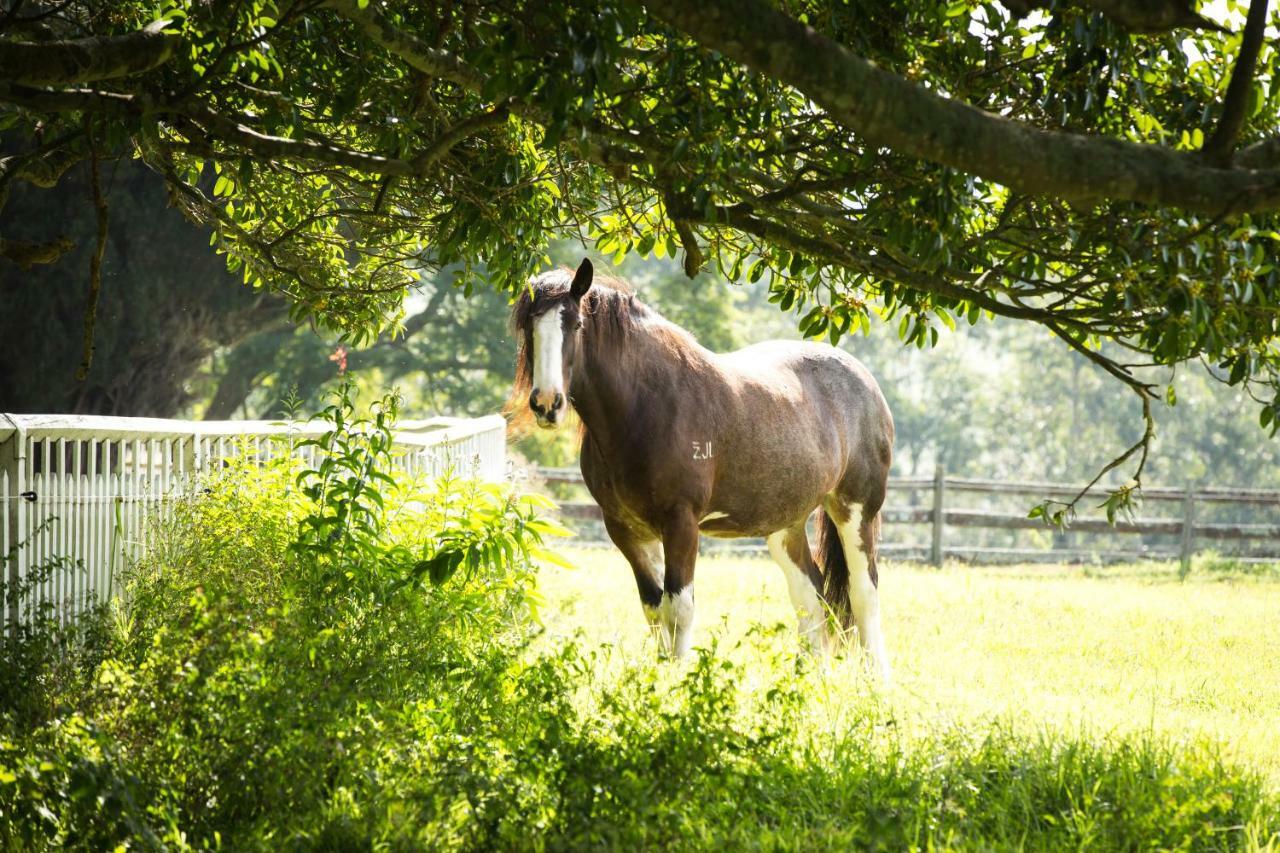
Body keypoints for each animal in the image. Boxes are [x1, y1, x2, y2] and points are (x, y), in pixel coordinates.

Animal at [506, 256, 890, 676]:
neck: (645, 406)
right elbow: (653, 608)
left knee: (864, 592)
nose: (547, 404)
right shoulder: (625, 529)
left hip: (855, 511)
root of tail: (865, 381)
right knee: (810, 595)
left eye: (575, 324)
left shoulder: (681, 523)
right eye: (529, 327)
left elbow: (679, 609)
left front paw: (677, 681)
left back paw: (876, 680)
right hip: (784, 524)